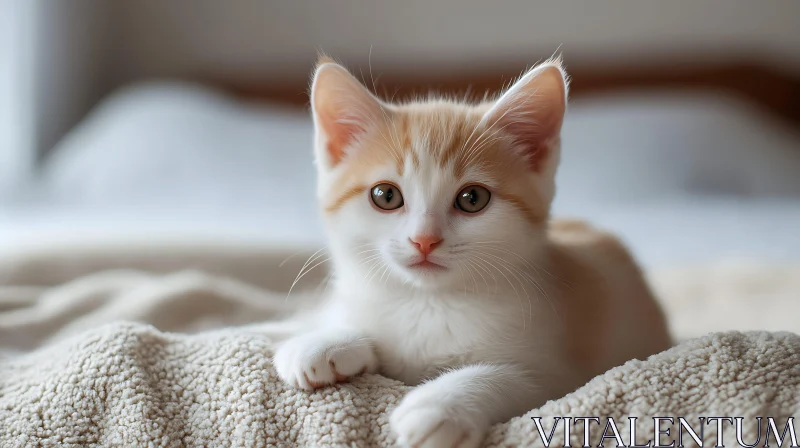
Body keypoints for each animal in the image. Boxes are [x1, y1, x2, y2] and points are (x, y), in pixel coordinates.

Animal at [272, 57, 672, 446]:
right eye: (385, 196)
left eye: (472, 198)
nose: (424, 239)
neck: (427, 303)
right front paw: (323, 342)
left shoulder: (562, 372)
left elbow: (515, 380)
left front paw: (440, 405)